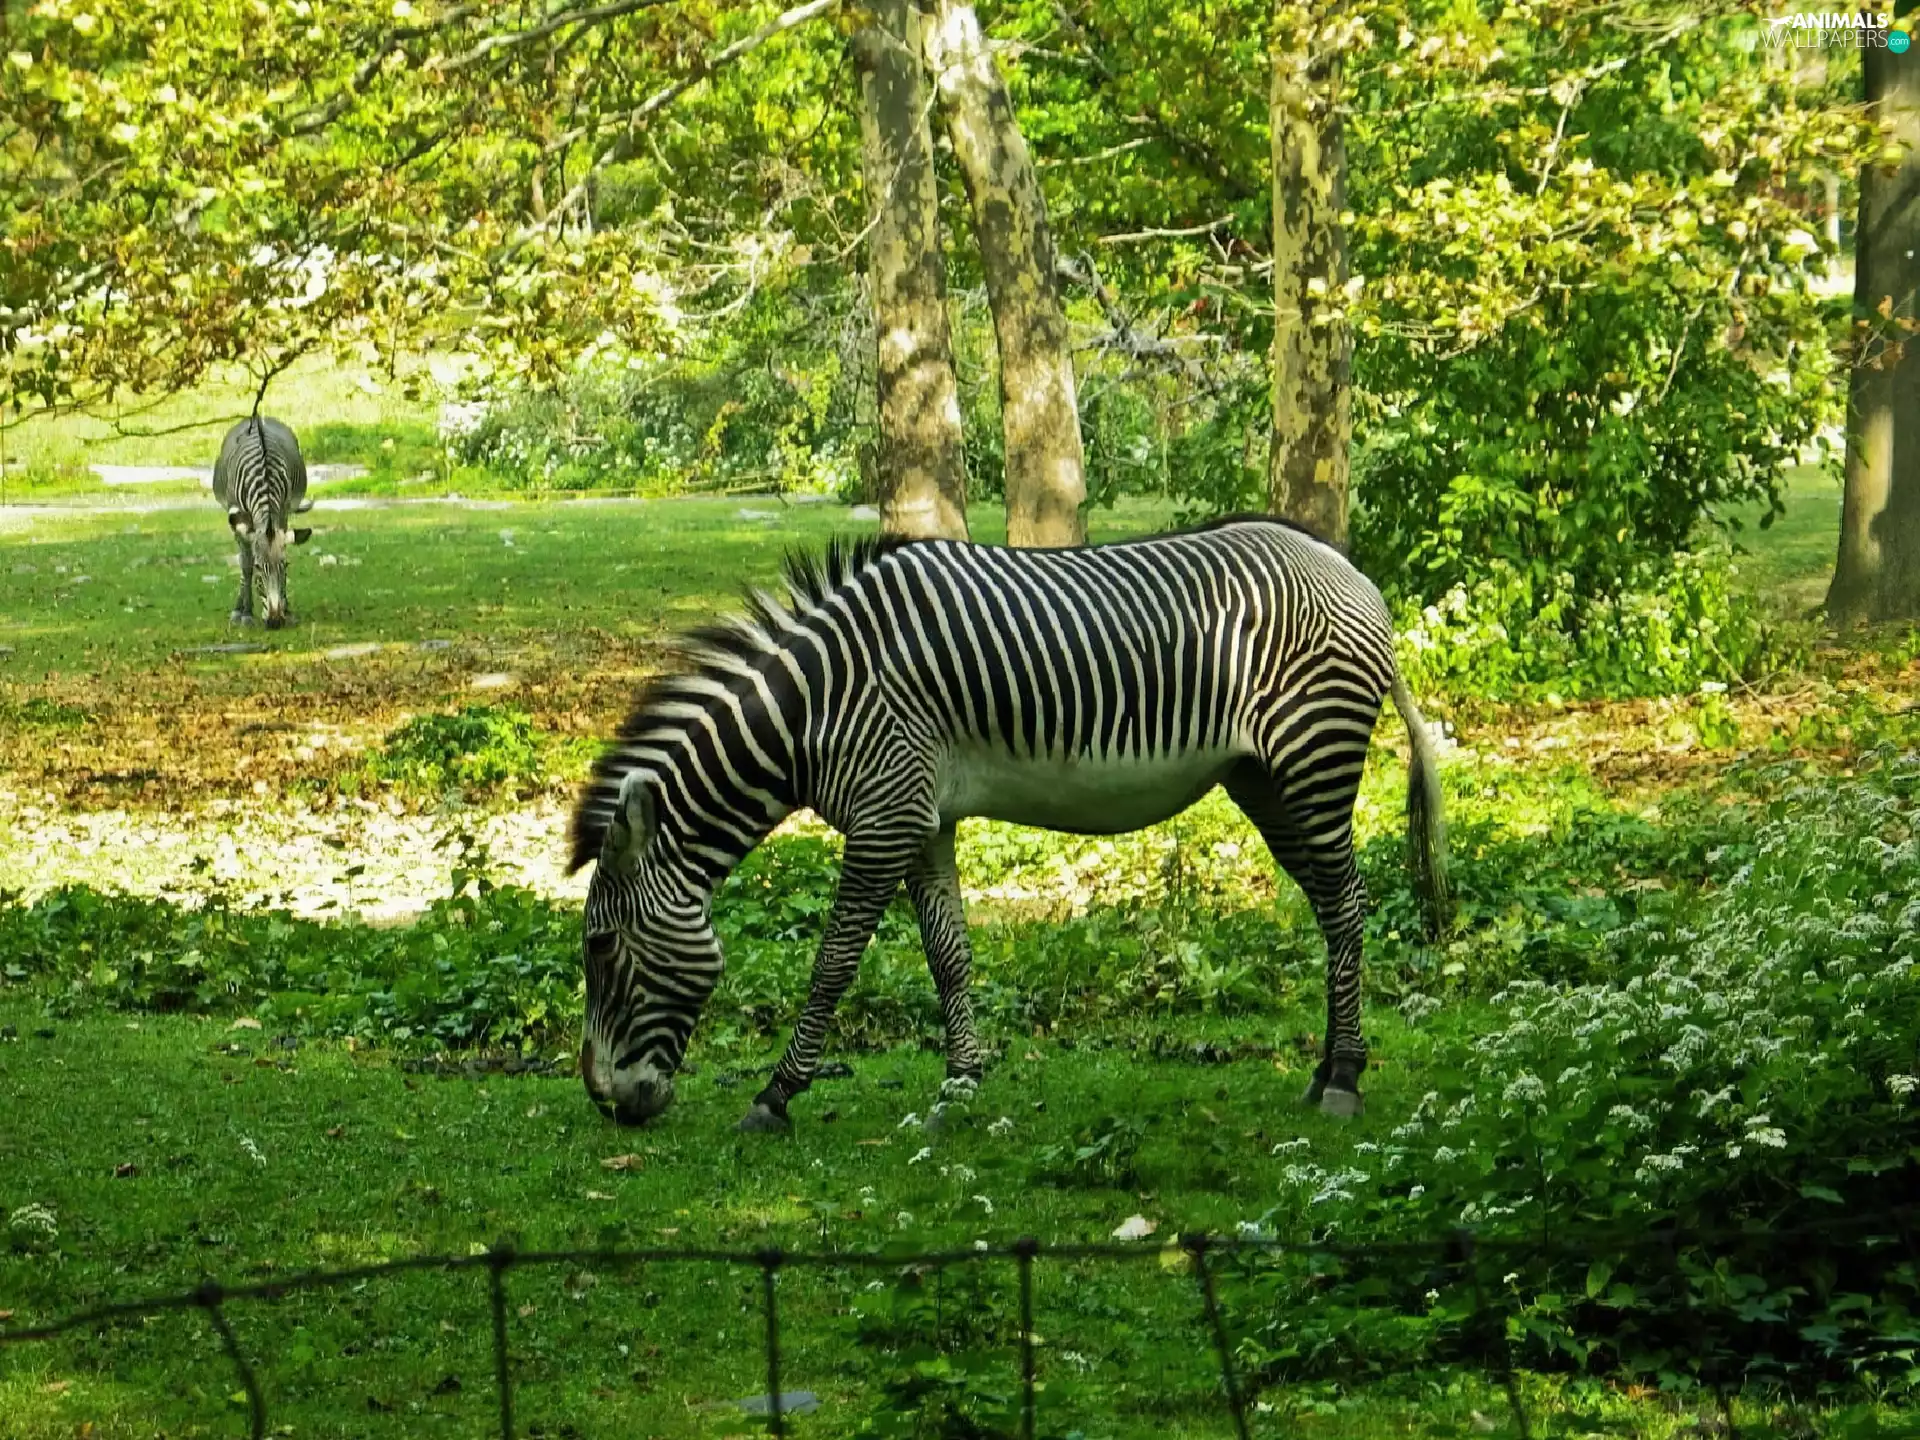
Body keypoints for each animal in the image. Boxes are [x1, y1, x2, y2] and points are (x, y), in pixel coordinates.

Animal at [212, 415, 312, 629]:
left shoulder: (282, 511)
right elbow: (246, 564)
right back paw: (239, 609)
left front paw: (287, 609)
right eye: (259, 568)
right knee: (244, 560)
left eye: (286, 566)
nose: (275, 622)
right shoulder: (240, 519)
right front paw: (246, 613)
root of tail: (257, 417)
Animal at [569, 516, 1450, 1133]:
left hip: (1314, 760)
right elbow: (947, 956)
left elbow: (833, 962)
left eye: (601, 947)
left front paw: (777, 1094)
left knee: (1347, 908)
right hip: (1266, 782)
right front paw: (961, 1084)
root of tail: (1349, 569)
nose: (609, 1103)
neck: (815, 706)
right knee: (1331, 908)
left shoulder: (884, 817)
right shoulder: (920, 819)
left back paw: (1345, 1078)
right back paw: (1324, 1069)